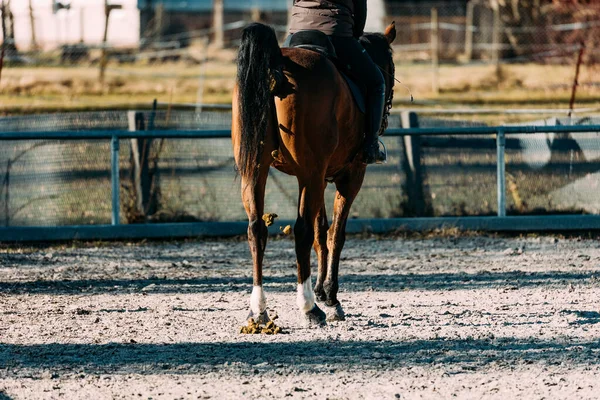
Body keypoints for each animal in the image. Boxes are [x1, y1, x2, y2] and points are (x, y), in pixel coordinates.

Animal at [232, 21, 396, 326]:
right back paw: (309, 307)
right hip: (311, 175)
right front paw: (329, 296)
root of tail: (277, 64)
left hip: (257, 171)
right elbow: (334, 235)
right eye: (389, 69)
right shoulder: (349, 177)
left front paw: (322, 291)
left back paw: (259, 310)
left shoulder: (319, 177)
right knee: (302, 232)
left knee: (257, 228)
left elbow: (322, 232)